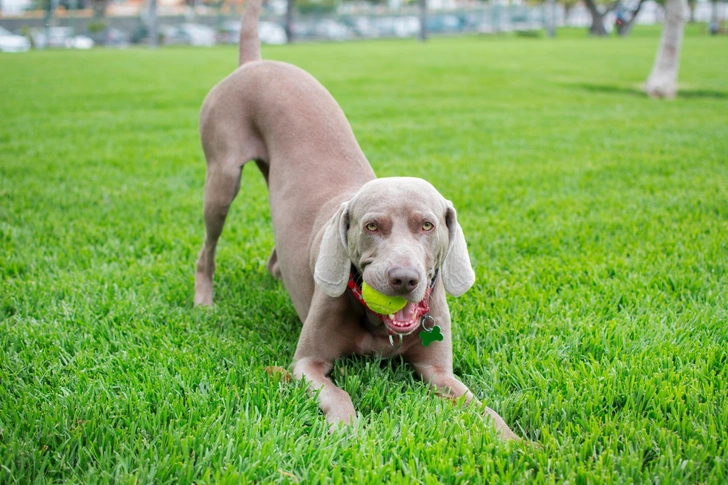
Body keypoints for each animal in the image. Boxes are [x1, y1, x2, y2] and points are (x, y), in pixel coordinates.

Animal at [193, 0, 516, 438]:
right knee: (207, 247)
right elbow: (338, 394)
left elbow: (484, 409)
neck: (381, 327)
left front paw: (522, 443)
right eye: (372, 226)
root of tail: (255, 63)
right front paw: (349, 435)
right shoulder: (306, 364)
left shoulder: (439, 371)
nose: (404, 279)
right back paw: (204, 301)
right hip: (222, 175)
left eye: (427, 225)